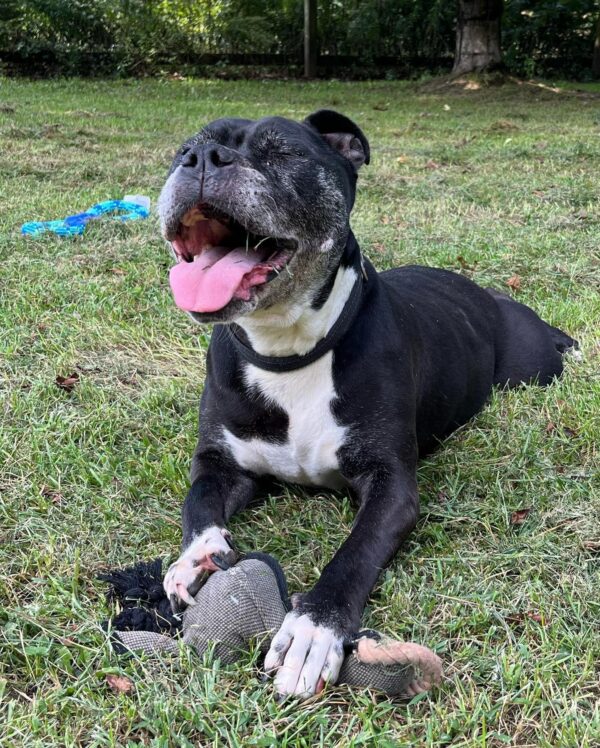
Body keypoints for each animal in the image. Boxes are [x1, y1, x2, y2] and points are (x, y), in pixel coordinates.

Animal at [157, 112, 580, 700]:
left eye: (284, 152)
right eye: (184, 148)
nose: (200, 159)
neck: (289, 352)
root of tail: (485, 293)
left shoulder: (391, 486)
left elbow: (353, 553)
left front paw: (314, 630)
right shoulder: (221, 462)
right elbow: (196, 502)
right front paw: (195, 557)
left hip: (533, 367)